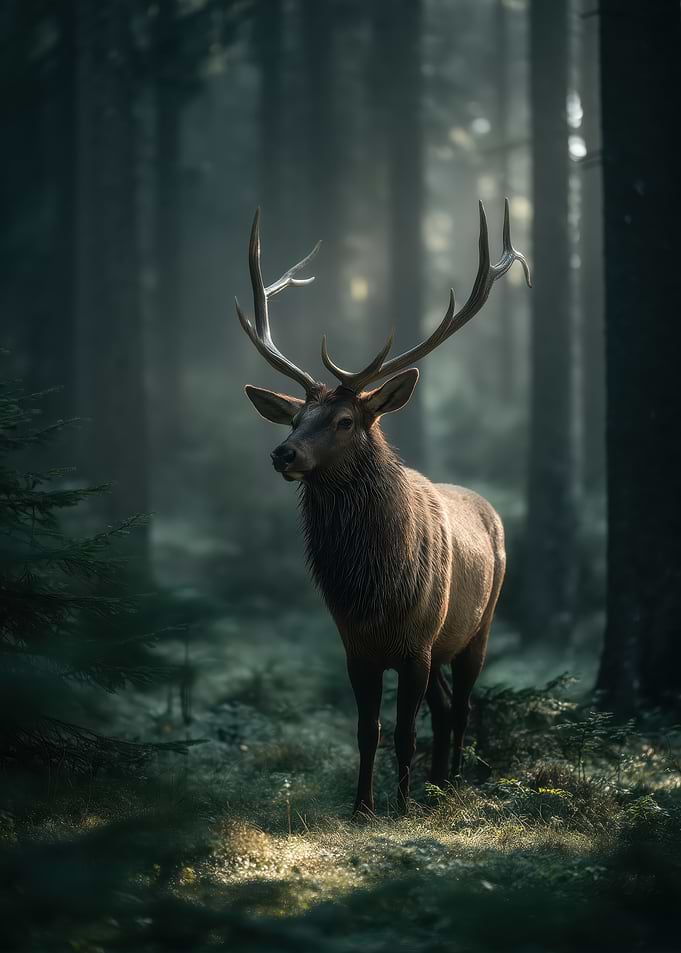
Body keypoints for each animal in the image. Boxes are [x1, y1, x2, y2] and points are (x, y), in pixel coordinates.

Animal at [235, 201, 531, 816]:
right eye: (295, 417)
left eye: (345, 420)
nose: (283, 453)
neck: (375, 589)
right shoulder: (356, 645)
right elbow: (366, 731)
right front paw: (363, 806)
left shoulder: (418, 642)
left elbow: (403, 730)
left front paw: (400, 806)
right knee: (444, 705)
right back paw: (438, 785)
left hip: (477, 625)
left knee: (461, 704)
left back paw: (453, 782)